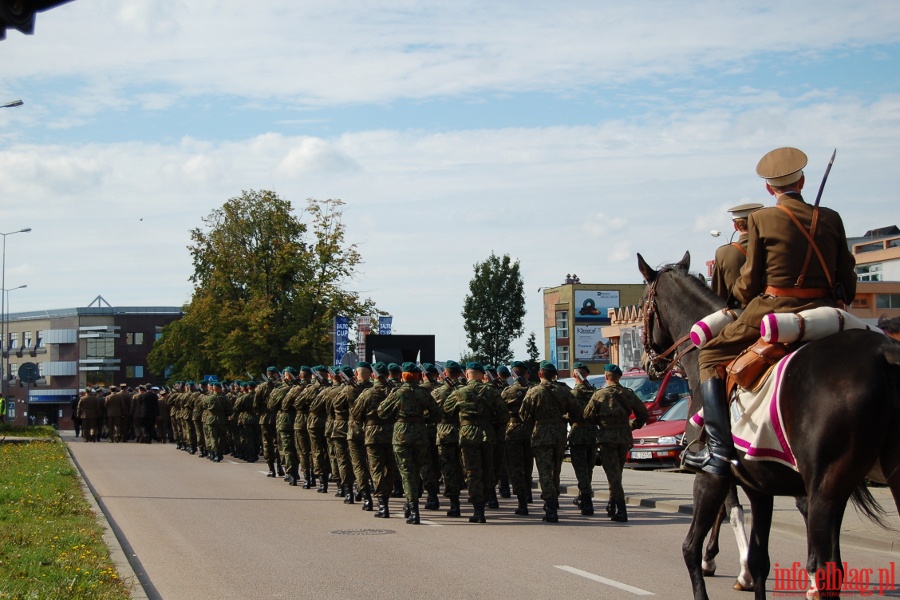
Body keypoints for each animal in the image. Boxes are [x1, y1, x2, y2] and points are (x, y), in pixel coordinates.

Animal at [640, 251, 900, 596]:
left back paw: (812, 579)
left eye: (643, 304)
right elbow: (758, 555)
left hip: (825, 484)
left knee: (826, 557)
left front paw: (719, 564)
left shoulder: (711, 474)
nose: (647, 364)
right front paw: (743, 571)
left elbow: (718, 523)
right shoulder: (758, 482)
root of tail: (883, 354)